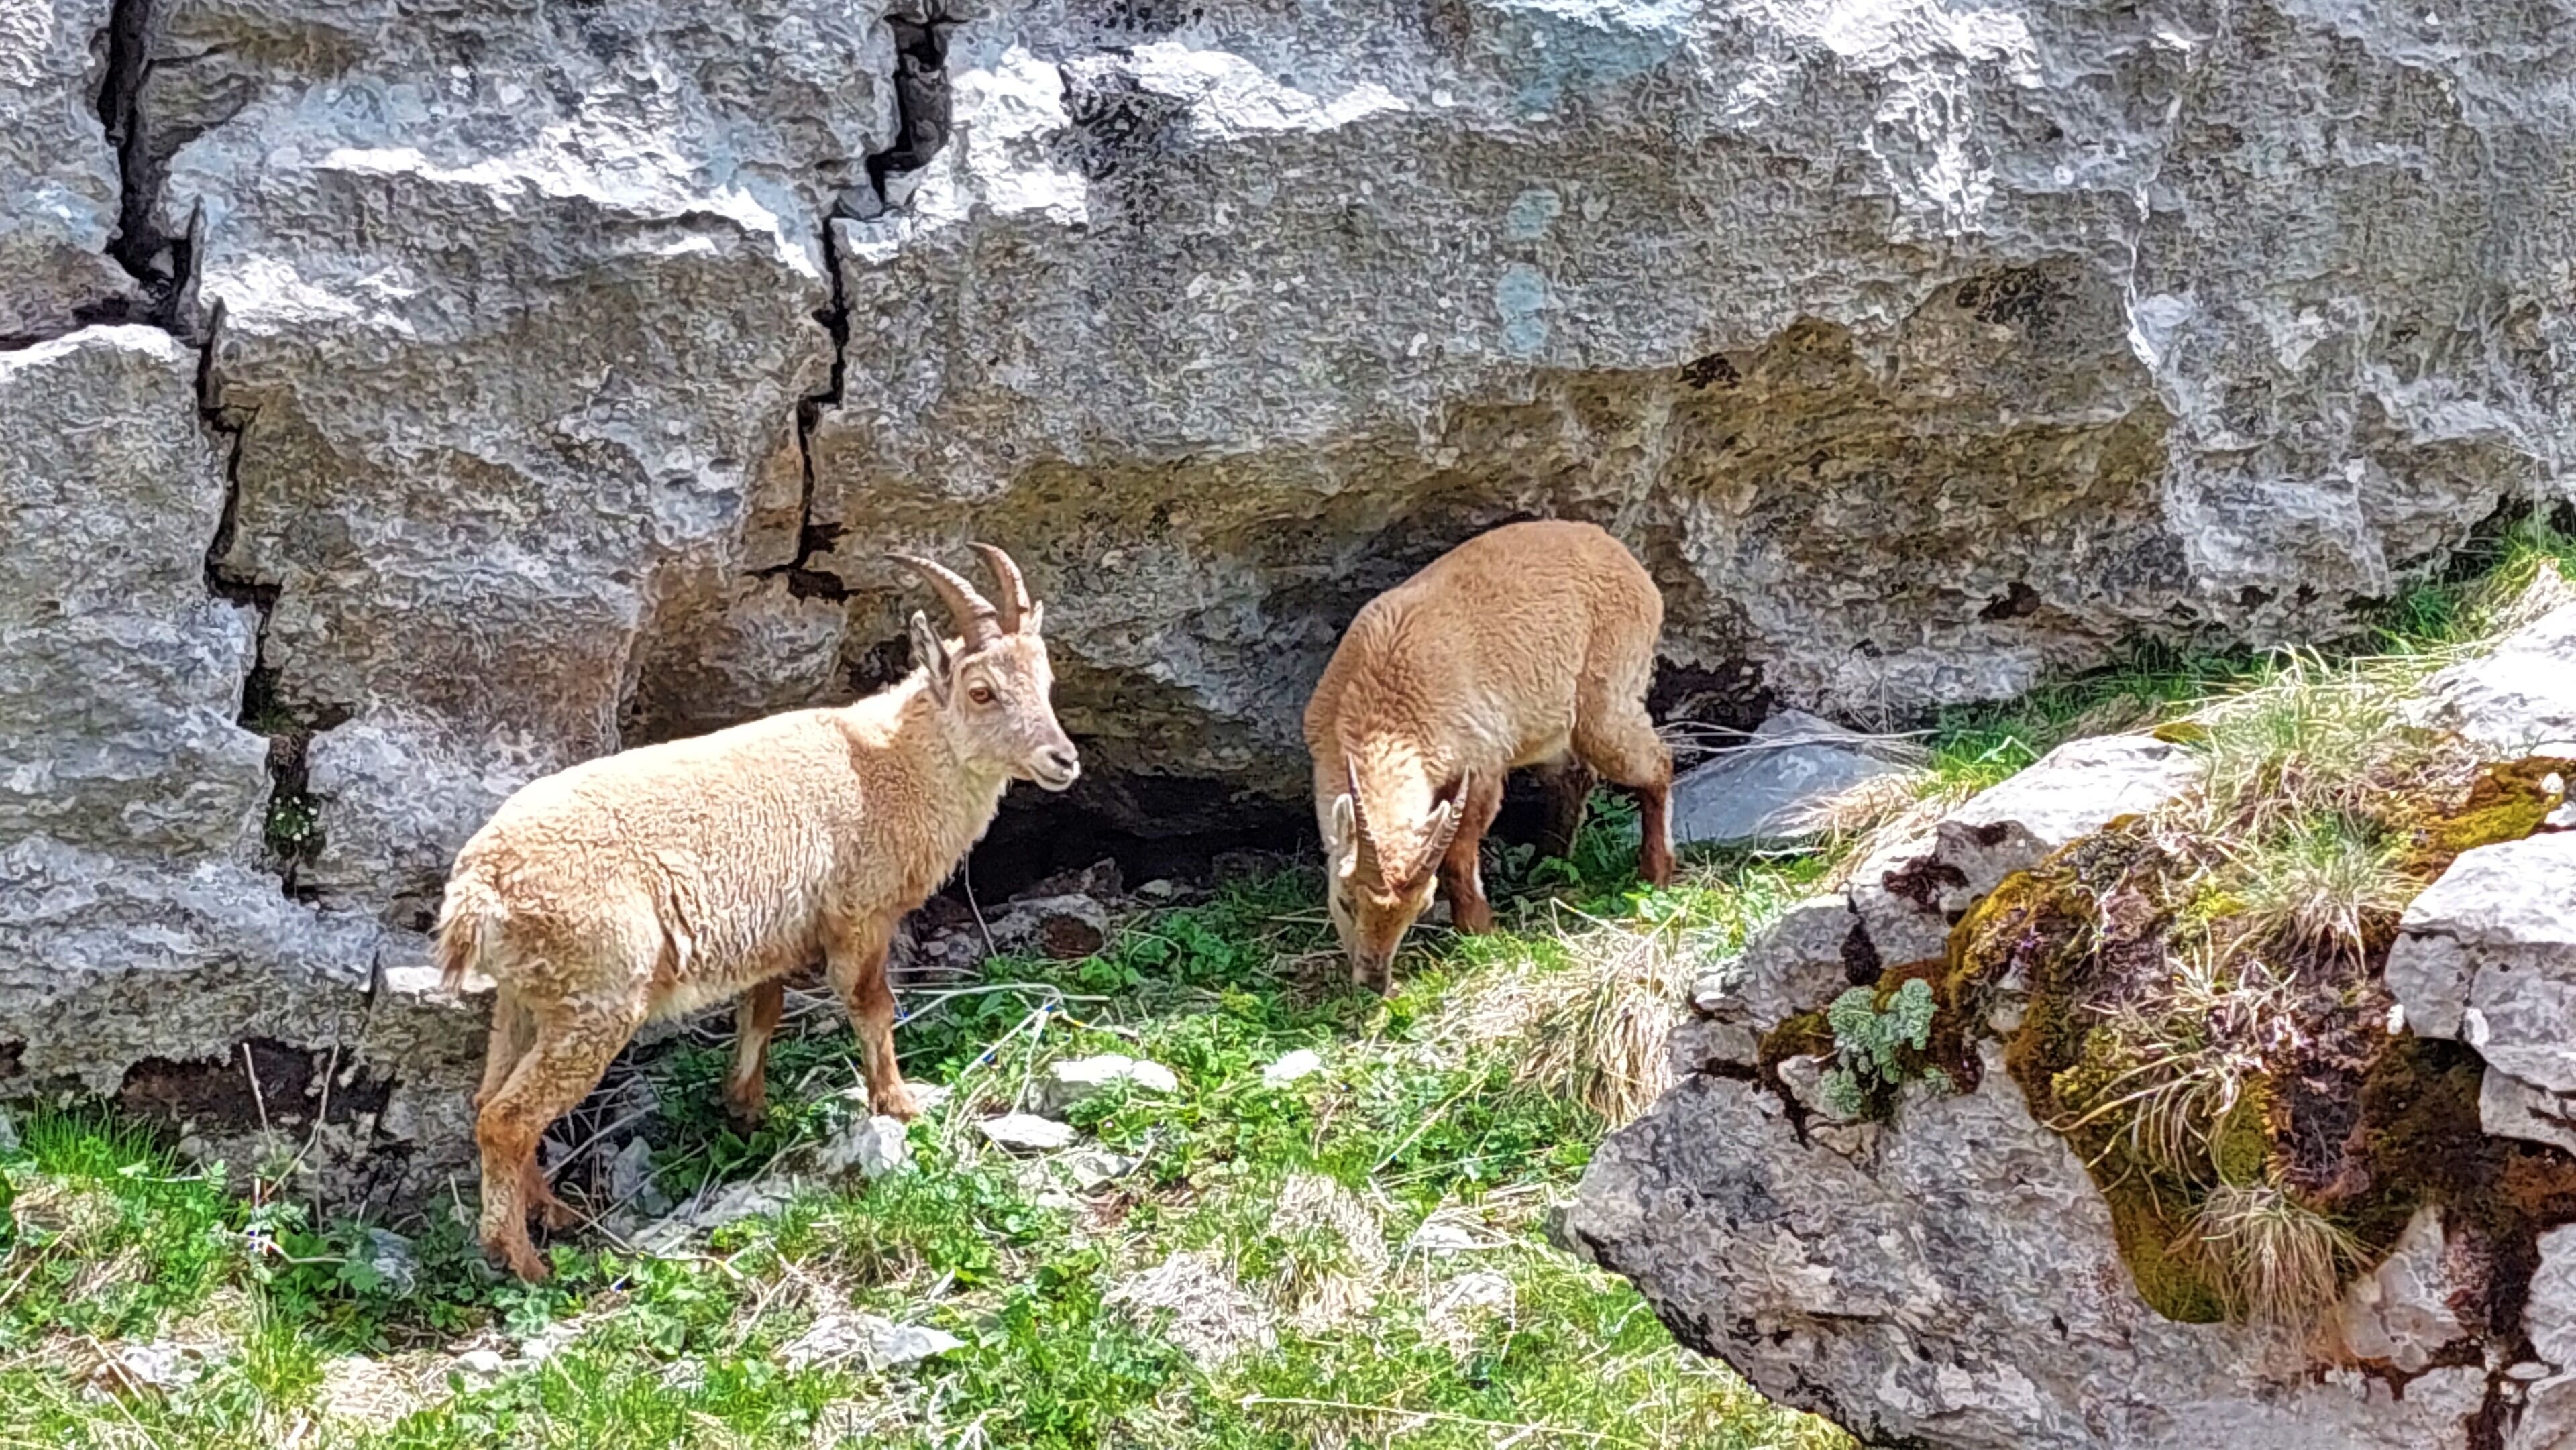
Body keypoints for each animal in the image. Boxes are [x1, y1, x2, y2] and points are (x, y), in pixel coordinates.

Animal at [434, 544, 1078, 1280]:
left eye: (1045, 679)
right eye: (982, 691)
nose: (1063, 759)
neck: (890, 767)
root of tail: (480, 886)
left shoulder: (772, 938)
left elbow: (762, 1010)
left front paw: (746, 1107)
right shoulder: (860, 913)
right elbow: (871, 1003)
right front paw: (899, 1104)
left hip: (525, 1000)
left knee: (489, 1099)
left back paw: (550, 1211)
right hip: (597, 1001)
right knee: (508, 1117)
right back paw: (521, 1259)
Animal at [1302, 519, 1673, 992]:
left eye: (1420, 909)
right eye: (1346, 900)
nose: (1374, 980)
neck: (1387, 708)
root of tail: (1629, 564)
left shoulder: (1480, 763)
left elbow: (1459, 855)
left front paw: (1479, 930)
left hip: (1607, 704)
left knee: (1657, 763)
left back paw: (1655, 873)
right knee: (1575, 776)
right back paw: (1547, 867)